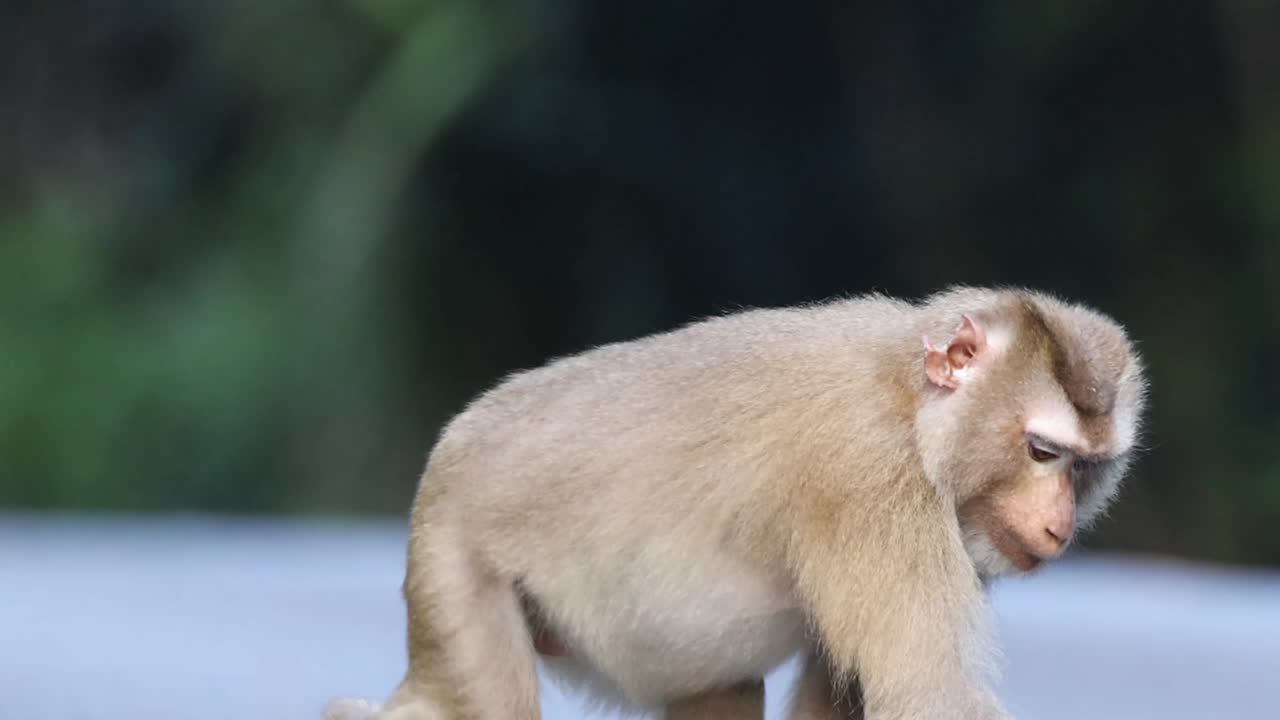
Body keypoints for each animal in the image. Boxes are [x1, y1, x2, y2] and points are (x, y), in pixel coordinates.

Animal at [324, 286, 1147, 720]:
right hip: (455, 559)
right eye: (1041, 451)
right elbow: (928, 693)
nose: (1059, 525)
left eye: (1084, 470)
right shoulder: (868, 480)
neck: (909, 403)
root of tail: (451, 448)